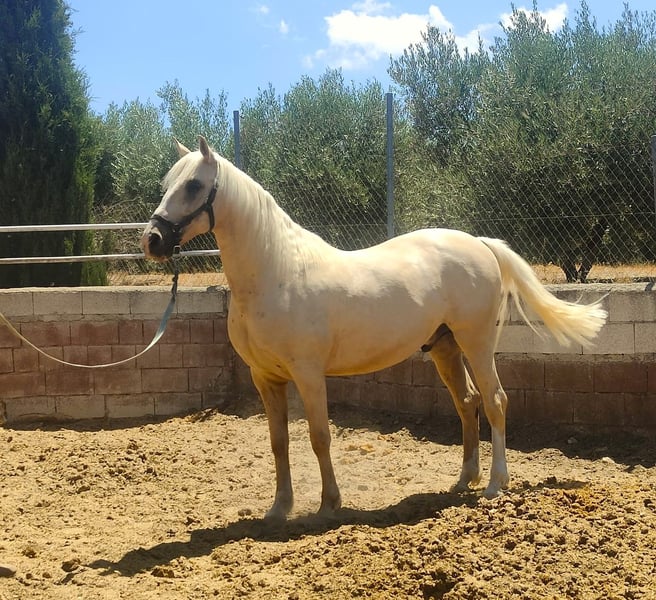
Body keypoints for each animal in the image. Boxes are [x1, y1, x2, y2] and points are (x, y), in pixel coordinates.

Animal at [140, 136, 607, 520]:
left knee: (494, 401)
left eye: (194, 186)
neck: (277, 273)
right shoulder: (265, 378)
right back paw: (464, 480)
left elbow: (320, 436)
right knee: (467, 402)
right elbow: (278, 443)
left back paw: (495, 485)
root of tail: (479, 243)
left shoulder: (308, 375)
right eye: (168, 183)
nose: (153, 240)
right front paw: (279, 508)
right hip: (445, 349)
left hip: (476, 343)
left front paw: (329, 504)